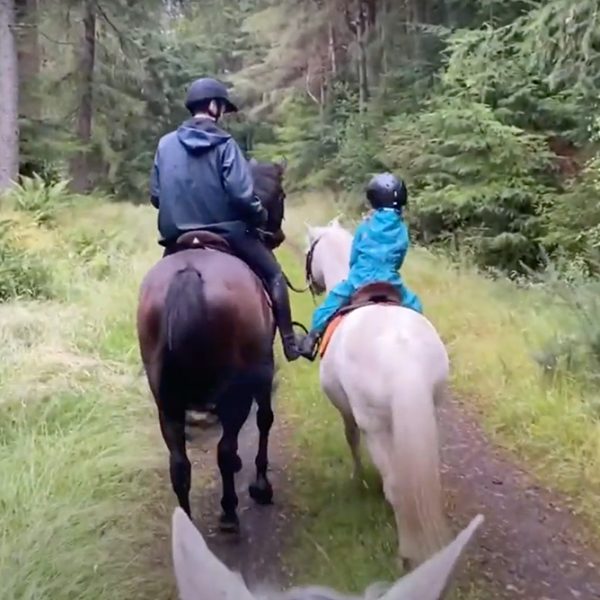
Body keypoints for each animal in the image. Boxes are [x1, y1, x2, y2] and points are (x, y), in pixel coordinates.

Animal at [137, 161, 288, 536]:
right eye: (281, 194)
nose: (275, 236)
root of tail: (190, 272)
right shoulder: (263, 370)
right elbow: (264, 419)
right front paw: (260, 485)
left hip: (167, 402)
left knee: (180, 464)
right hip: (234, 390)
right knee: (224, 446)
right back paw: (230, 513)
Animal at [304, 218, 450, 564]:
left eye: (309, 251)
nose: (313, 285)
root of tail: (402, 354)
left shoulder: (348, 411)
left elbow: (351, 438)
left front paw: (356, 480)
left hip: (376, 426)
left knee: (396, 484)